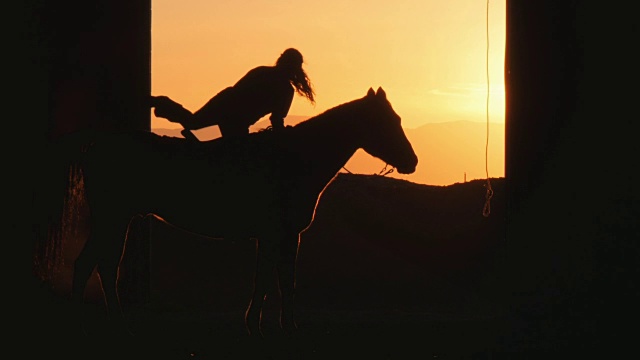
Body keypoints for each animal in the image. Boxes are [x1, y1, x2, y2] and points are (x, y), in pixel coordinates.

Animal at [55, 87, 418, 338]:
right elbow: (278, 283)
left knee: (100, 265)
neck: (293, 159)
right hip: (113, 220)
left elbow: (271, 281)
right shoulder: (281, 236)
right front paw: (277, 328)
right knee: (92, 264)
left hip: (119, 220)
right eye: (387, 122)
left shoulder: (276, 237)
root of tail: (99, 144)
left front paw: (264, 326)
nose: (412, 162)